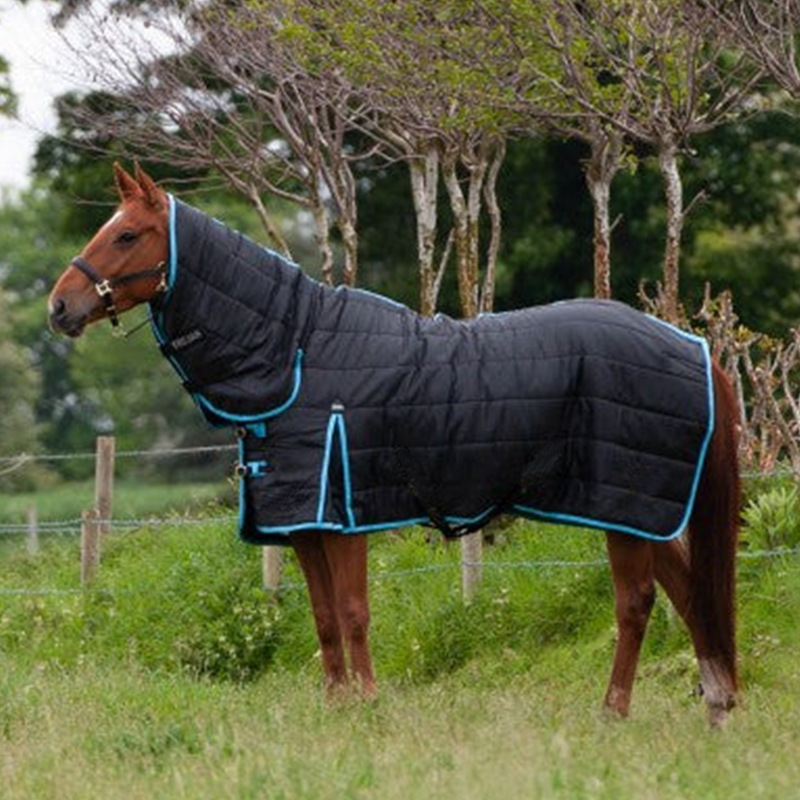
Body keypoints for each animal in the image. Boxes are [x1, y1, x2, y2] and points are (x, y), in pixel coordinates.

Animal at [48, 164, 740, 725]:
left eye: (126, 235)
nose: (59, 307)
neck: (297, 352)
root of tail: (695, 351)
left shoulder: (344, 516)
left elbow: (353, 611)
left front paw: (368, 704)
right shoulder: (305, 524)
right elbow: (324, 617)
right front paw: (337, 706)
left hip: (626, 506)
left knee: (637, 602)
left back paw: (614, 710)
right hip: (644, 510)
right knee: (689, 593)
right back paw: (717, 703)